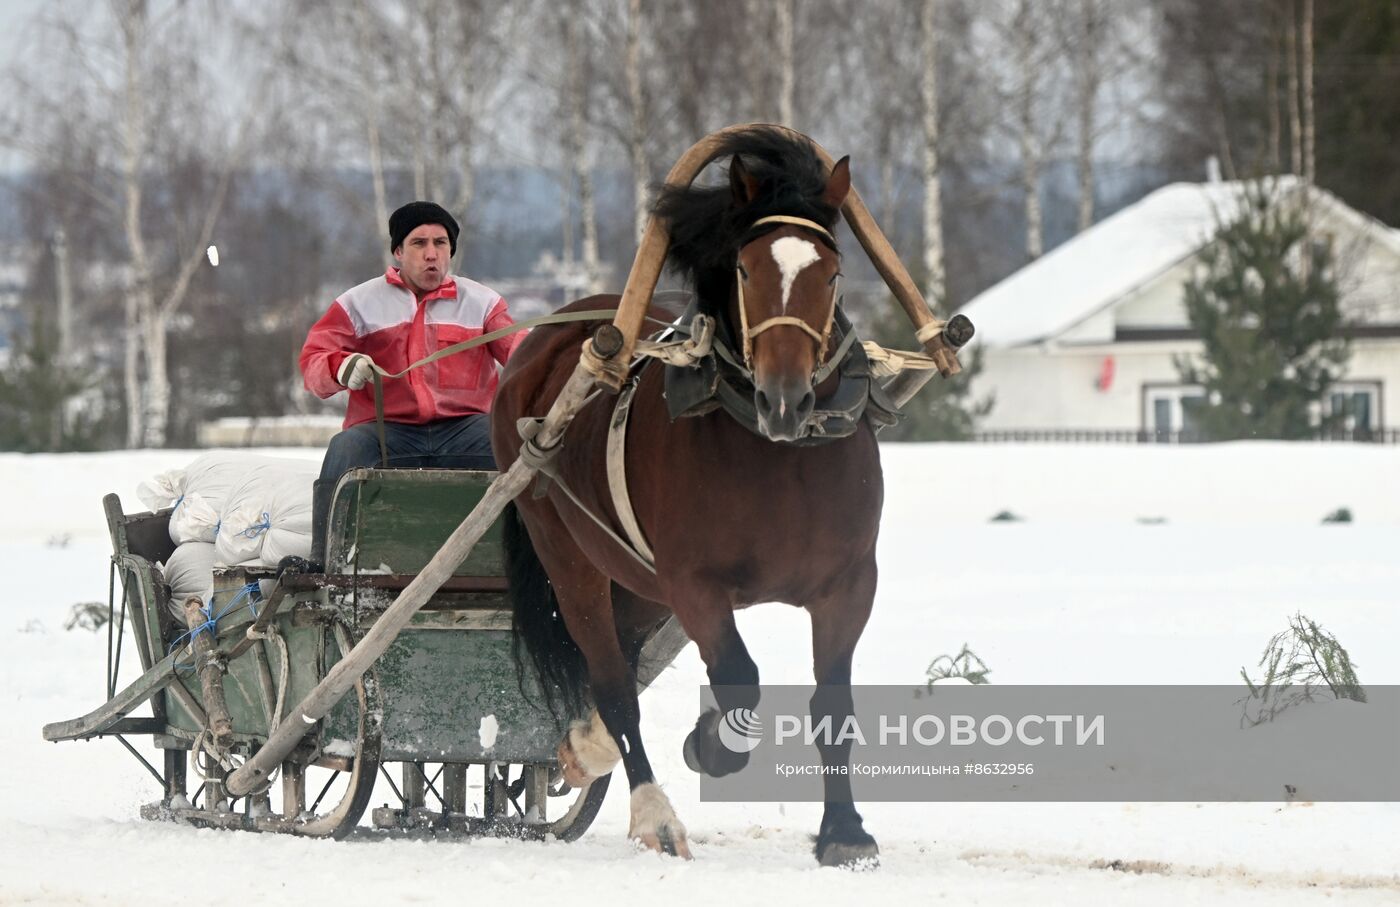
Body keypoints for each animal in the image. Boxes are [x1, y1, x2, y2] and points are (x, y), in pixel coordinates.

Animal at [492, 125, 879, 862]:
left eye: (831, 273)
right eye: (747, 270)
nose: (784, 398)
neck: (776, 456)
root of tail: (545, 336)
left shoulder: (848, 582)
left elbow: (834, 705)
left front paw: (844, 831)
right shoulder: (693, 582)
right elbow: (738, 677)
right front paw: (711, 746)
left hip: (637, 579)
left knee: (622, 661)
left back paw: (586, 746)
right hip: (572, 557)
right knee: (614, 682)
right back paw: (653, 812)